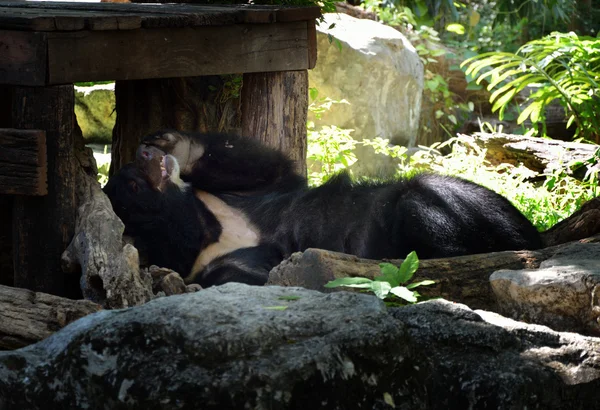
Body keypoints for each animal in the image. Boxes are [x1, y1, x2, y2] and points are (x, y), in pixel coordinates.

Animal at [104, 131, 544, 288]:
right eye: (132, 185)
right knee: (419, 202)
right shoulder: (218, 261)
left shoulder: (242, 198)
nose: (144, 153)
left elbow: (265, 167)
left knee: (439, 191)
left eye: (130, 173)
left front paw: (172, 142)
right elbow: (253, 278)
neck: (209, 226)